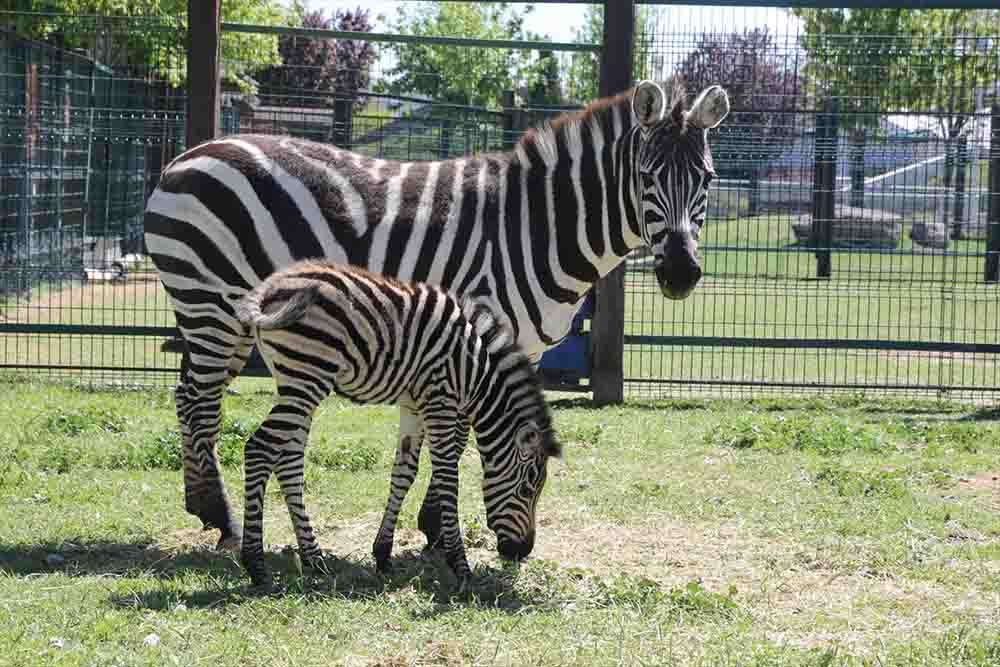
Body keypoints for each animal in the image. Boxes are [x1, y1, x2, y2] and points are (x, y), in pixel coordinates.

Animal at [144, 79, 730, 551]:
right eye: (647, 176)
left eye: (706, 178)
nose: (681, 273)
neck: (535, 228)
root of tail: (188, 154)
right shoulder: (476, 329)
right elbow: (463, 433)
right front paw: (435, 528)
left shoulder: (514, 346)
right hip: (210, 302)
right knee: (200, 403)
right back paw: (221, 519)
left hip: (238, 318)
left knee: (188, 396)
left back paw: (205, 508)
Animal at [234, 259, 560, 588]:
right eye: (527, 491)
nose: (522, 552)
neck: (476, 372)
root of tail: (270, 285)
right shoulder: (440, 400)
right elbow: (447, 477)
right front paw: (460, 566)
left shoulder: (413, 405)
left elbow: (404, 472)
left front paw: (382, 554)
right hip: (308, 375)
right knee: (259, 449)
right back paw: (256, 565)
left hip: (294, 381)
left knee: (287, 460)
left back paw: (314, 559)